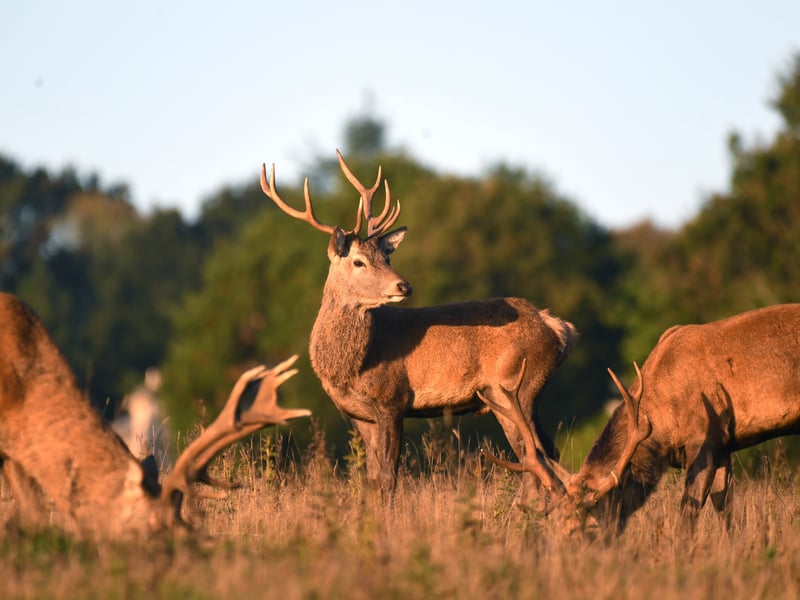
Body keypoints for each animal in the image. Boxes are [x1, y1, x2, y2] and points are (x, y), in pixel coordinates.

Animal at [259, 150, 578, 497]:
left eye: (387, 258)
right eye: (359, 261)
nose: (404, 286)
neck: (353, 367)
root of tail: (557, 327)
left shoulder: (392, 400)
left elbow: (388, 478)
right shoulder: (358, 414)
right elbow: (372, 479)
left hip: (515, 387)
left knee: (536, 454)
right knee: (546, 452)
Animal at [484, 303, 800, 535]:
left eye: (590, 526)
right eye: (559, 524)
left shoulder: (705, 437)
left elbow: (689, 512)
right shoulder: (724, 443)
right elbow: (725, 509)